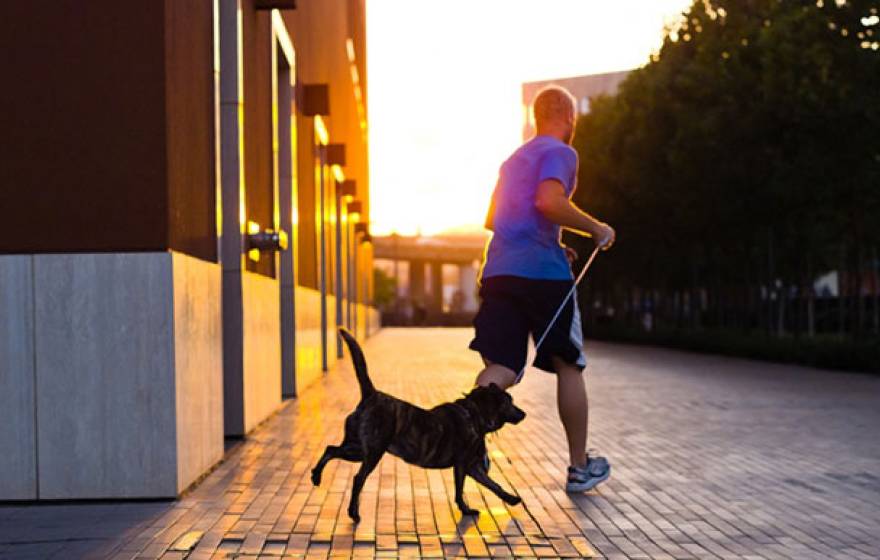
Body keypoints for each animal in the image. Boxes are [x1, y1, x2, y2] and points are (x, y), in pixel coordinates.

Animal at [312, 328, 524, 520]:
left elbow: (494, 484)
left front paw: (511, 498)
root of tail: (371, 395)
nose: (523, 414)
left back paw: (316, 476)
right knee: (358, 478)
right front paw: (465, 509)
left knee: (330, 449)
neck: (472, 414)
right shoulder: (462, 464)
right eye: (509, 402)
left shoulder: (474, 468)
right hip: (372, 452)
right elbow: (460, 490)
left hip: (356, 448)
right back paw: (353, 512)